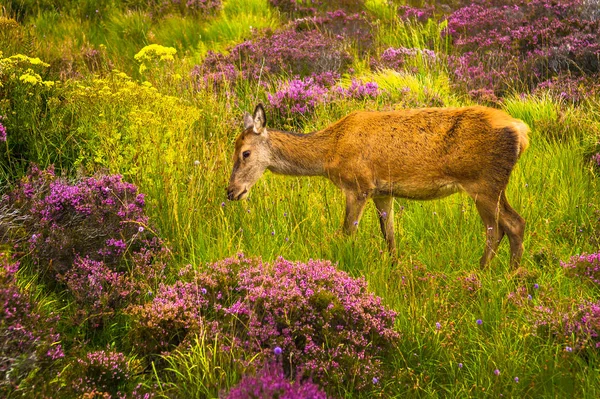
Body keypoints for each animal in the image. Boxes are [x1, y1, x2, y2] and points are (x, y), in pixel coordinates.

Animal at [226, 104, 528, 268]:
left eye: (245, 153)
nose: (231, 192)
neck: (328, 153)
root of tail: (522, 131)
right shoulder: (383, 192)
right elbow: (390, 236)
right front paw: (395, 269)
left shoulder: (358, 186)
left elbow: (347, 233)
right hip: (496, 185)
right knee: (515, 223)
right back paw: (512, 274)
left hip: (483, 183)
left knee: (499, 229)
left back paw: (481, 272)